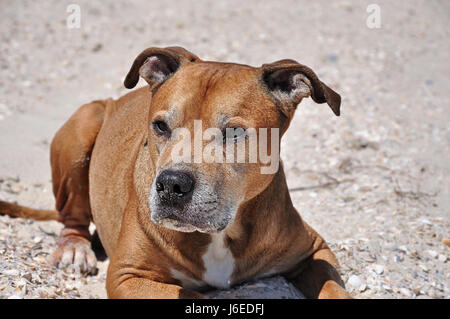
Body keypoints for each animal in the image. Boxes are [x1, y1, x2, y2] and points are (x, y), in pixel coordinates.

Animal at [0, 47, 352, 300]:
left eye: (234, 132)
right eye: (160, 126)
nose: (171, 185)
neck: (223, 234)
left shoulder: (315, 252)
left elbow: (333, 289)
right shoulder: (128, 276)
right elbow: (191, 294)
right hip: (85, 123)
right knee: (71, 218)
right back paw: (74, 250)